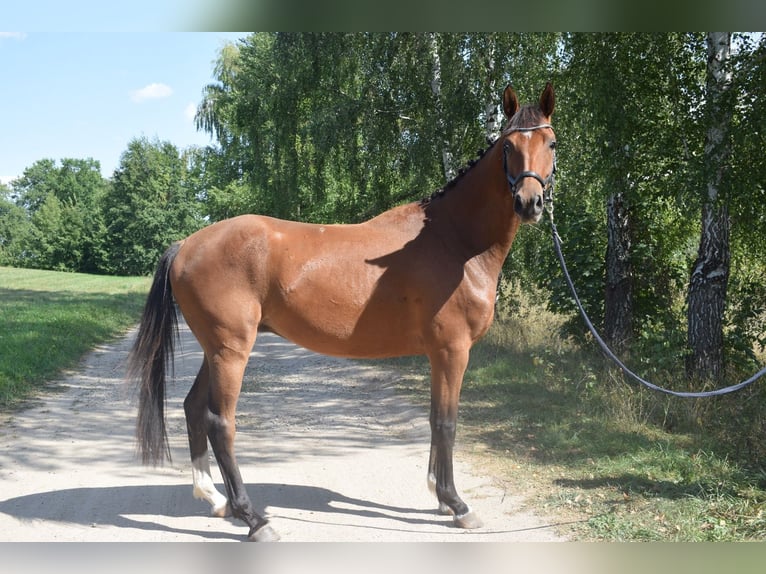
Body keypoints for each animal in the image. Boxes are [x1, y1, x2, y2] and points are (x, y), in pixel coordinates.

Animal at [127, 83, 560, 544]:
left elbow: (433, 420)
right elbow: (447, 423)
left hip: (215, 350)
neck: (454, 241)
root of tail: (186, 245)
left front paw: (439, 496)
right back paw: (254, 519)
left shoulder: (439, 355)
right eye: (508, 146)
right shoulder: (452, 350)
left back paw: (216, 500)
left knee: (193, 409)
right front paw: (457, 504)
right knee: (219, 422)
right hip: (231, 351)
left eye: (550, 143)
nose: (529, 203)